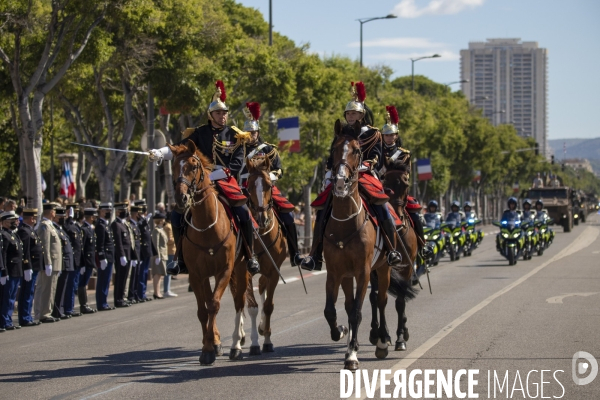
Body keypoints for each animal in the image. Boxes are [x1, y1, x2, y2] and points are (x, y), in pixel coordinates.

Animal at [170, 141, 250, 366]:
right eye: (173, 166)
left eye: (193, 166)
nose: (181, 198)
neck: (207, 226)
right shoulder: (196, 275)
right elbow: (203, 310)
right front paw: (209, 347)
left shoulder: (225, 270)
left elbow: (214, 305)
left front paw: (210, 349)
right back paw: (217, 342)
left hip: (240, 267)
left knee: (239, 301)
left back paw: (236, 345)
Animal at [322, 120, 392, 370]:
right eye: (333, 149)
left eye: (357, 151)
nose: (340, 181)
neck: (346, 222)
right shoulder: (335, 272)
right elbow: (330, 311)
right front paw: (341, 332)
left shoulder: (363, 271)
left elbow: (357, 313)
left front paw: (352, 355)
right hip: (347, 276)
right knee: (350, 303)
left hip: (383, 268)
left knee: (381, 300)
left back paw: (382, 341)